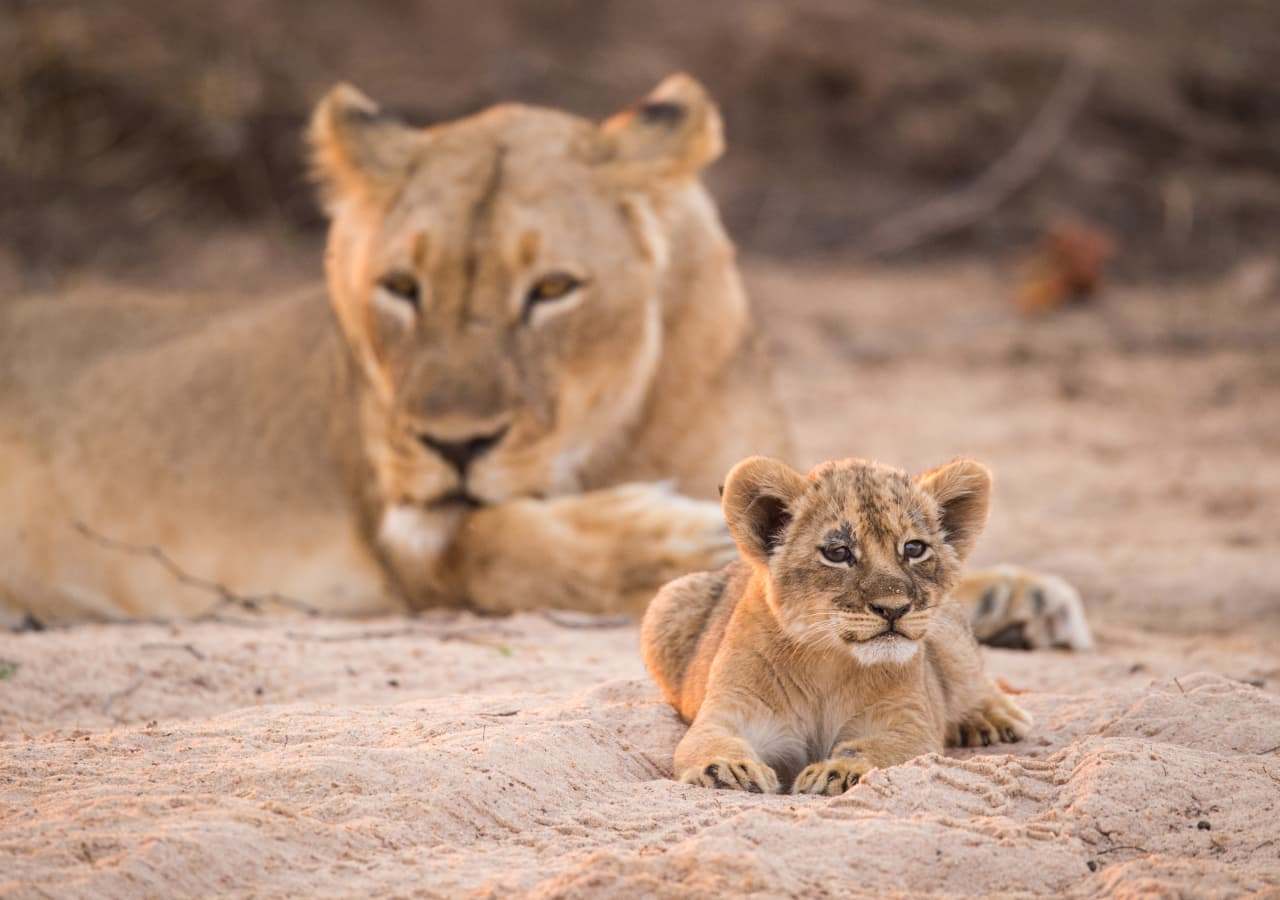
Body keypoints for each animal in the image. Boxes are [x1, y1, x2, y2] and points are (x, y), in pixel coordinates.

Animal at [0, 73, 1089, 640]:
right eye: (402, 287)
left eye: (553, 291)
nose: (451, 445)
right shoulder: (406, 538)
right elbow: (510, 546)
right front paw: (667, 535)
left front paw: (1009, 595)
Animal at [641, 455, 1033, 794]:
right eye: (838, 552)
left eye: (914, 548)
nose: (894, 609)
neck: (825, 664)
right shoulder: (729, 710)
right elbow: (709, 740)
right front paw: (726, 770)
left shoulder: (910, 725)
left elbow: (874, 749)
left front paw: (837, 772)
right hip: (668, 601)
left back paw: (993, 718)